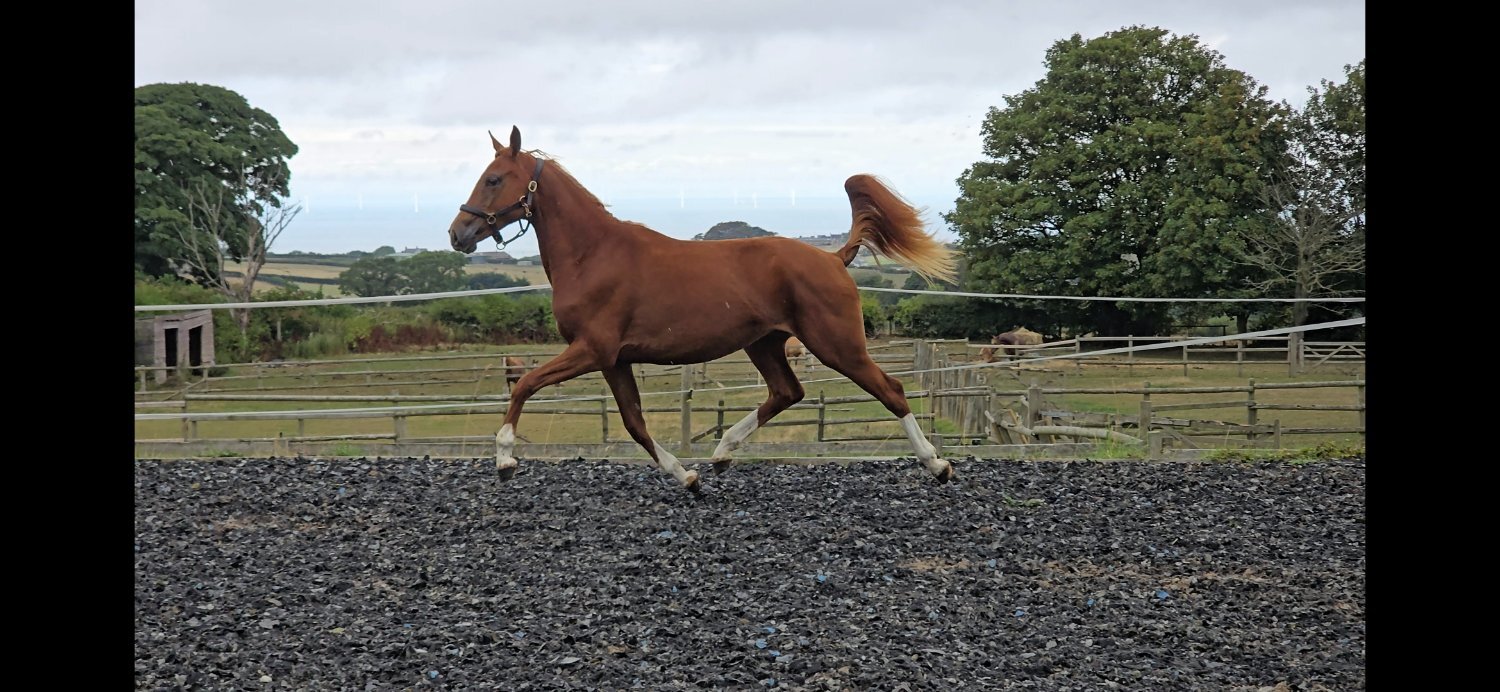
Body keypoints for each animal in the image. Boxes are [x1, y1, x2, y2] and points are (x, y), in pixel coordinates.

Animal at [448, 127, 959, 492]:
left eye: (494, 179)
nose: (457, 233)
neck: (593, 255)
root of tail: (833, 258)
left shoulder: (591, 350)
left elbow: (525, 386)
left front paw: (505, 459)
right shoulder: (614, 360)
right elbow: (634, 423)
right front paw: (686, 476)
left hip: (836, 344)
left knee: (891, 390)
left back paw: (937, 465)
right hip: (765, 343)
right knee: (786, 392)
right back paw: (721, 453)